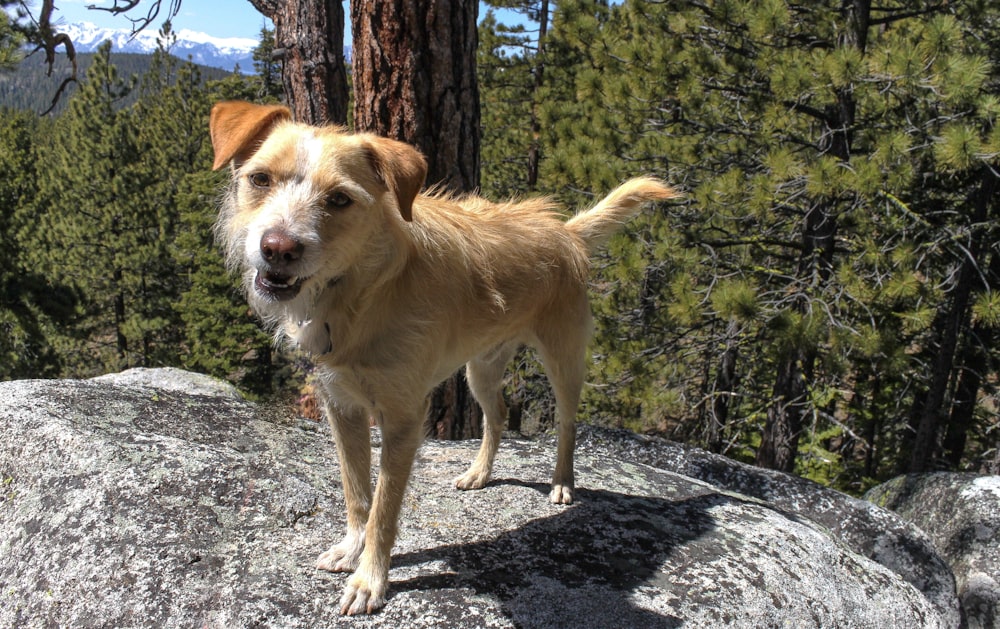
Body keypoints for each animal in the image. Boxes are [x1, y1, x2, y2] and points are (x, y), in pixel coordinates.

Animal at [211, 99, 680, 612]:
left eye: (339, 200)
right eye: (260, 179)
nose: (278, 249)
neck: (360, 291)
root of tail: (564, 231)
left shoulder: (402, 418)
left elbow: (384, 507)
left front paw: (369, 579)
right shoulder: (342, 406)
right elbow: (357, 492)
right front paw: (351, 548)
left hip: (564, 358)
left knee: (566, 423)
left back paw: (562, 482)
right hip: (481, 367)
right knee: (497, 414)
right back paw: (479, 472)